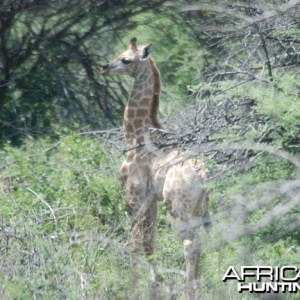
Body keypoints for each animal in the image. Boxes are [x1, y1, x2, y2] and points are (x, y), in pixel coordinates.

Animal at [101, 37, 211, 300]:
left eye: (126, 60)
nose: (105, 68)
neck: (136, 135)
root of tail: (203, 174)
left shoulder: (134, 195)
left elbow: (133, 243)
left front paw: (131, 289)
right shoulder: (151, 199)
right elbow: (150, 242)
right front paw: (155, 287)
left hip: (178, 208)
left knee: (190, 245)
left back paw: (188, 293)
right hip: (201, 209)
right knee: (204, 242)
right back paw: (200, 291)